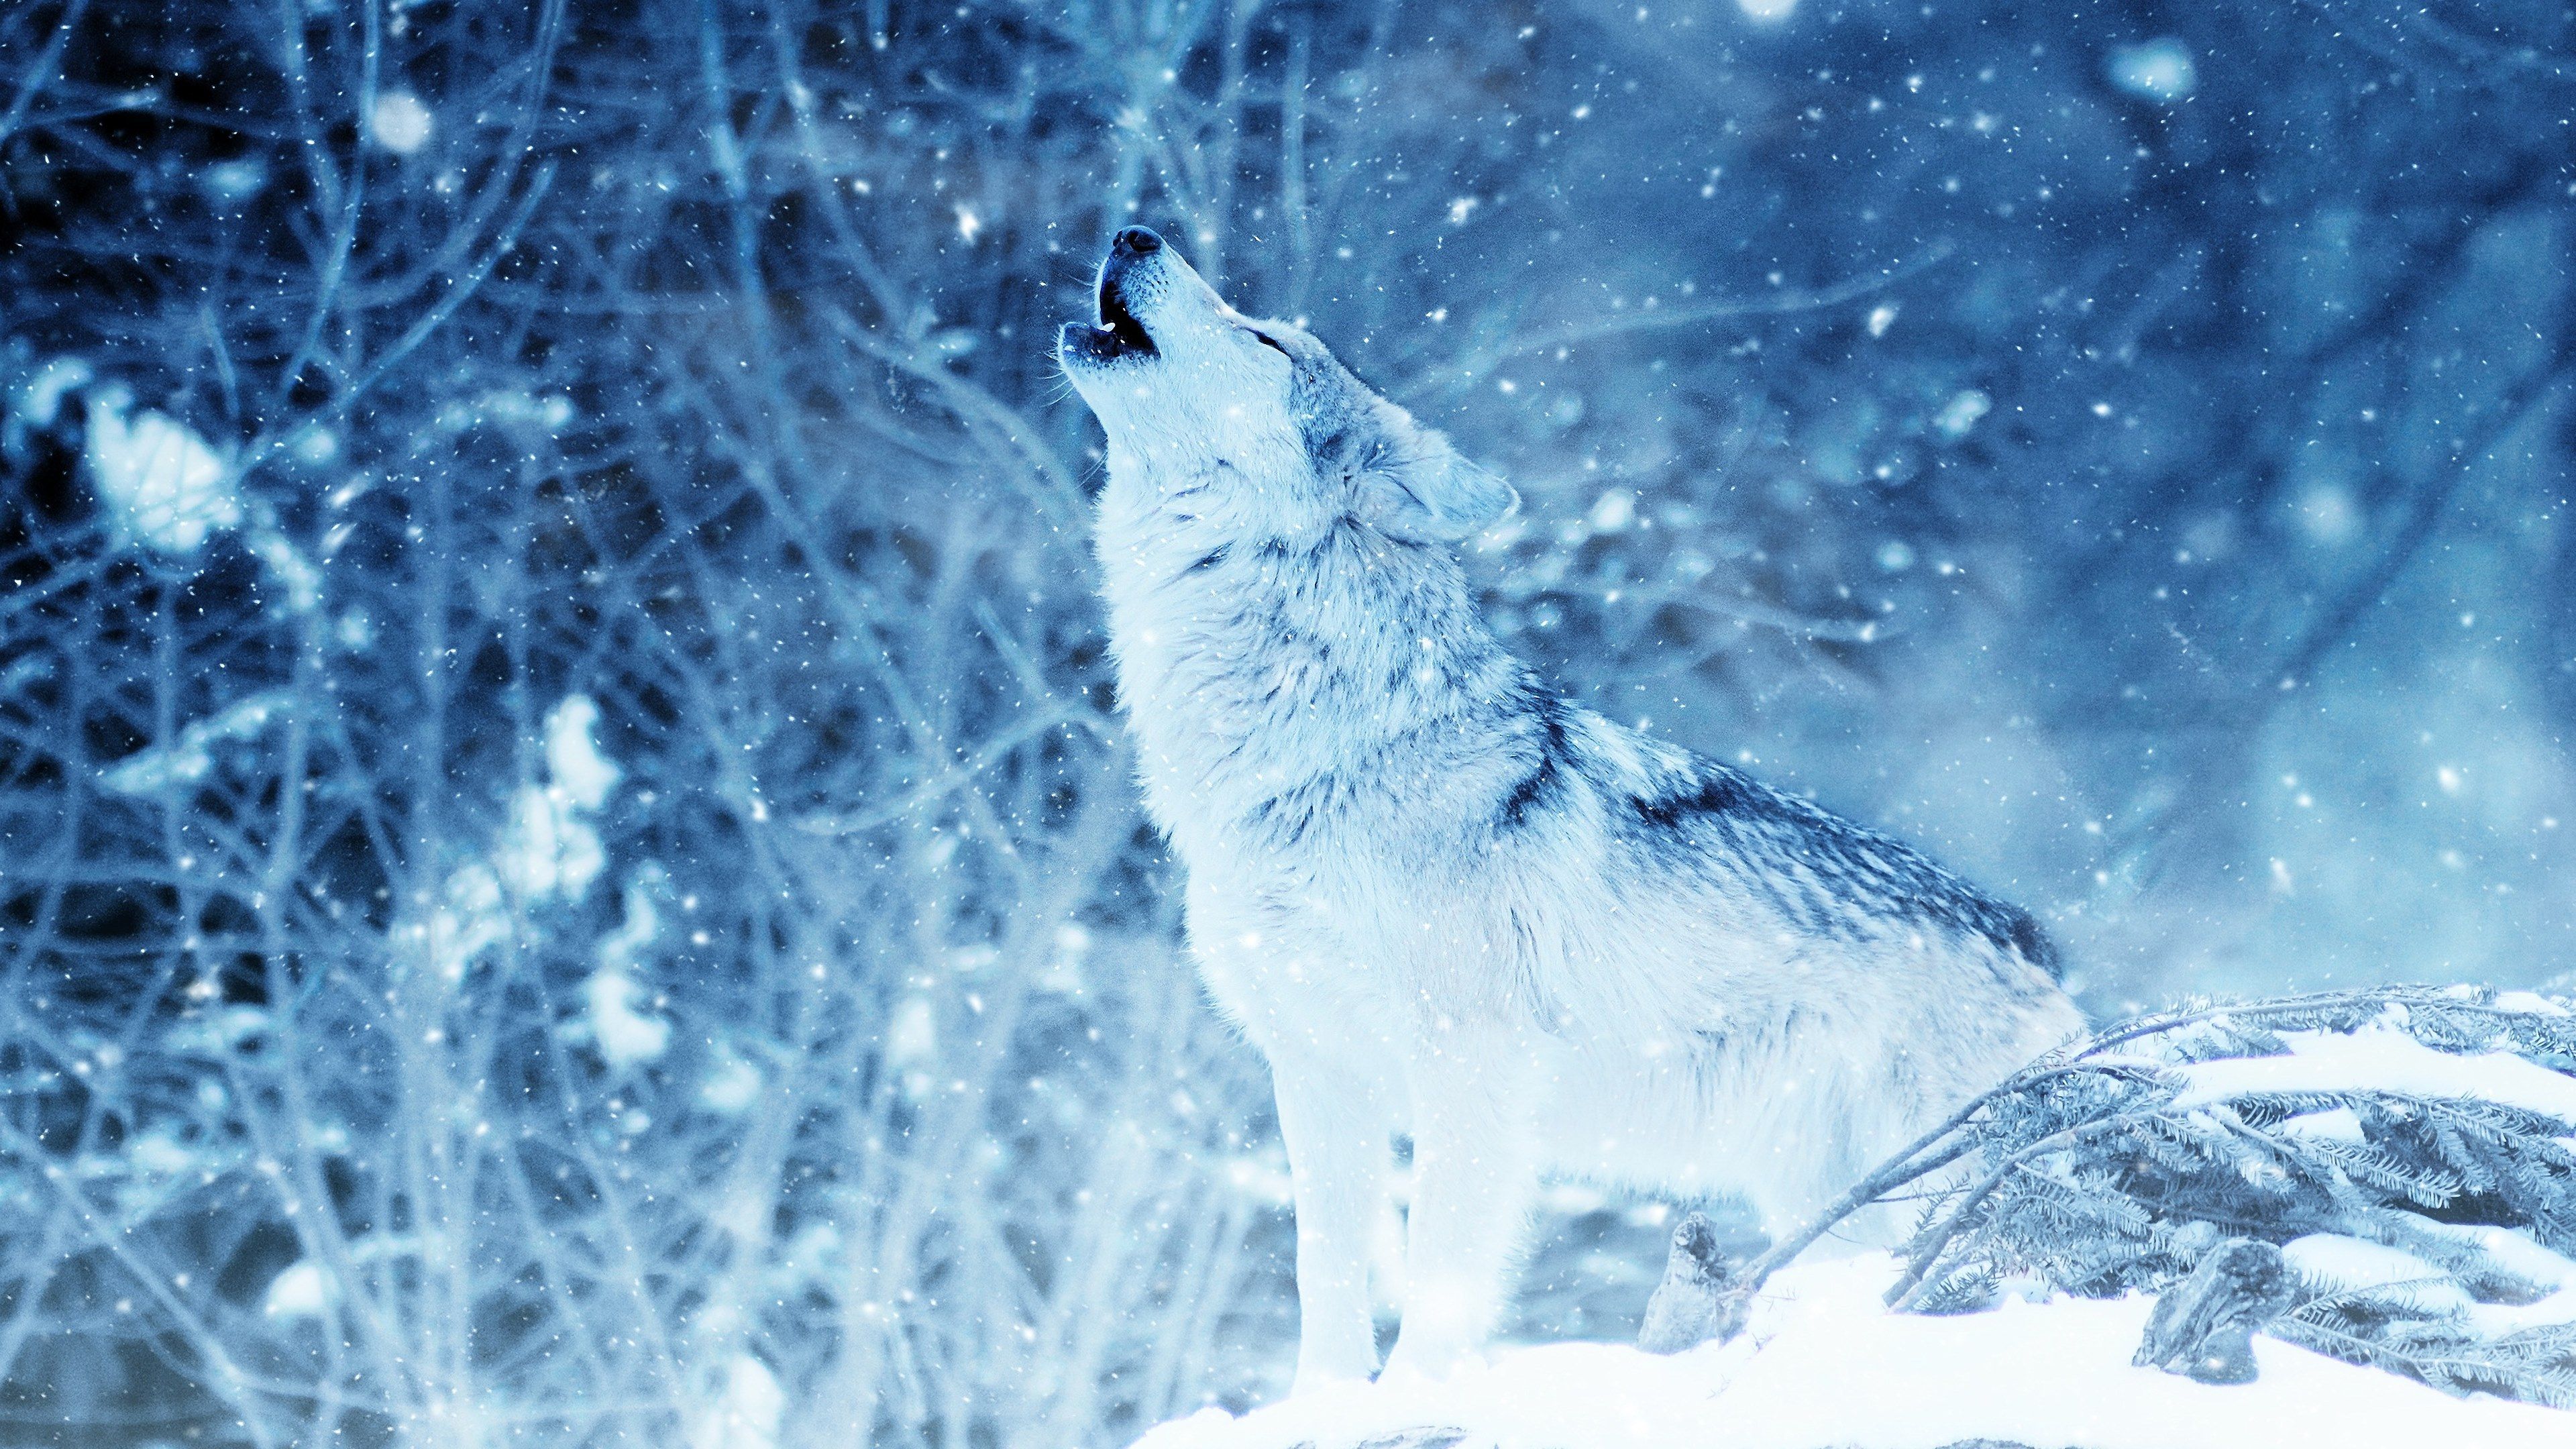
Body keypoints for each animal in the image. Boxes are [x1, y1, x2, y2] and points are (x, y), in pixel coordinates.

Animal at [1057, 227, 2085, 1391]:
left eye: (1267, 340)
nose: (1135, 232)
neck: (1319, 753)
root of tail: (2038, 945)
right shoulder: (1317, 1076)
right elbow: (1326, 1279)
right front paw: (1324, 1405)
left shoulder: (1471, 1074)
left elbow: (1441, 1283)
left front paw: (1418, 1399)